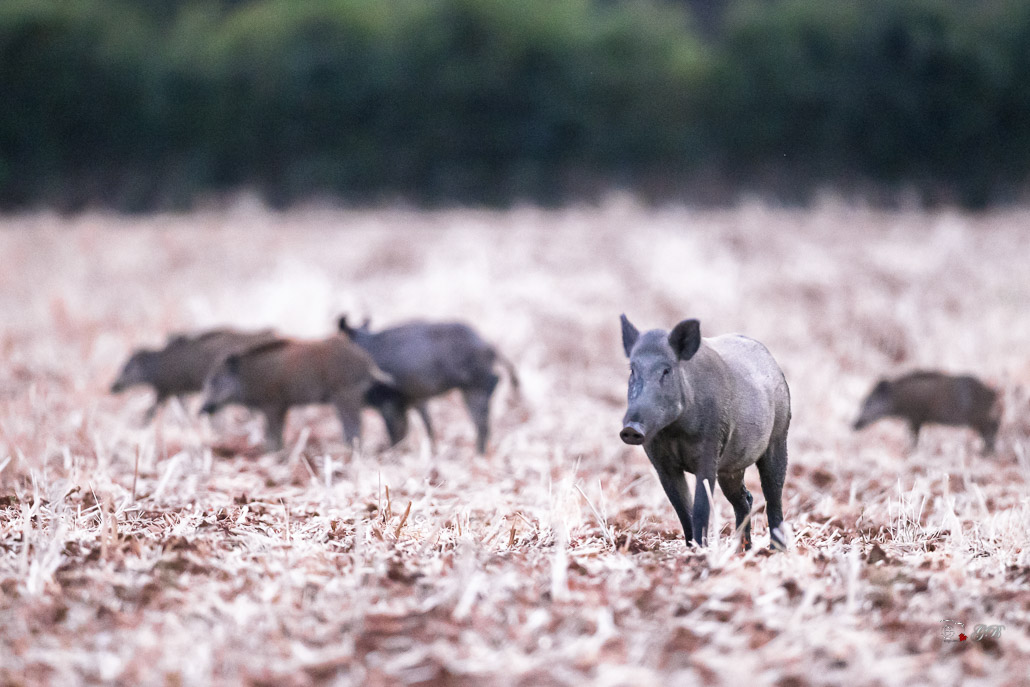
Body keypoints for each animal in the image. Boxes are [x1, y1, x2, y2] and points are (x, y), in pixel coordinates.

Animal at [199, 335, 395, 451]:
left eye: (214, 380)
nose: (201, 410)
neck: (246, 376)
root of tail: (367, 362)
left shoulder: (272, 404)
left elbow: (273, 431)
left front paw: (271, 452)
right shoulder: (282, 406)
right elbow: (277, 431)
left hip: (345, 394)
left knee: (354, 424)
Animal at [338, 316, 519, 453]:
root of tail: (490, 346)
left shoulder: (389, 402)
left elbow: (397, 433)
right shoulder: (409, 402)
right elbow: (415, 428)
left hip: (475, 387)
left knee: (482, 419)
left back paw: (478, 453)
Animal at [619, 315, 791, 550]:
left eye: (666, 370)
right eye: (632, 370)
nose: (631, 428)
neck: (674, 432)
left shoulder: (710, 451)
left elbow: (701, 507)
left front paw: (700, 551)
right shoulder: (662, 464)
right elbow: (683, 510)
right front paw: (692, 549)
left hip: (779, 437)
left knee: (774, 496)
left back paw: (775, 550)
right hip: (731, 467)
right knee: (745, 498)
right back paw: (742, 550)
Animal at [853, 371, 1001, 453]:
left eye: (870, 402)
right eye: (862, 402)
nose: (854, 425)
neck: (898, 398)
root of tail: (993, 393)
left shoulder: (915, 416)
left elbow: (914, 436)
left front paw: (910, 451)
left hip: (980, 418)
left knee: (991, 430)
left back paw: (986, 452)